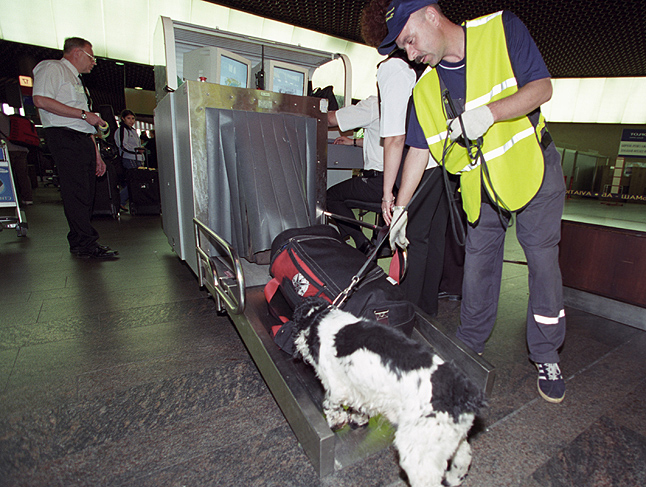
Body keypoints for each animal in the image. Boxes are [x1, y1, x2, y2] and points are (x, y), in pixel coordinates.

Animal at [294, 298, 486, 487]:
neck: (320, 321)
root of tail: (463, 394)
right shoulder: (361, 389)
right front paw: (358, 419)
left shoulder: (337, 388)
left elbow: (330, 405)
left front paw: (337, 422)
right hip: (448, 438)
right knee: (464, 456)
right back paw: (453, 479)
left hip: (418, 450)